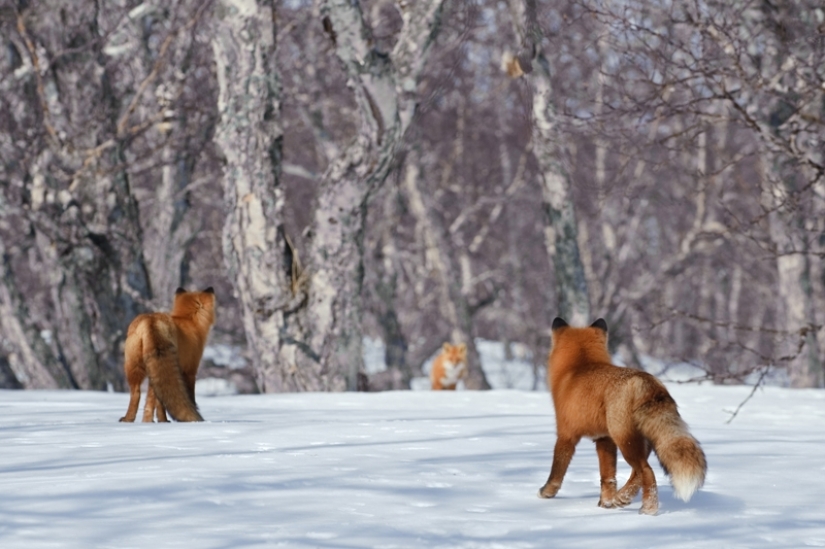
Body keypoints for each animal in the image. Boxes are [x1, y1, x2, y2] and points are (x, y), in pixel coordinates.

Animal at [118, 287, 216, 423]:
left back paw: (134, 419)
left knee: (137, 394)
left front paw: (158, 419)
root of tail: (152, 320)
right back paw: (152, 421)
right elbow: (191, 396)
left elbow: (157, 401)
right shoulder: (190, 370)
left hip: (136, 367)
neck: (188, 320)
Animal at [538, 317, 706, 515]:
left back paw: (648, 509)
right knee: (638, 472)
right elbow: (607, 477)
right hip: (639, 441)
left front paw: (547, 492)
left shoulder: (566, 435)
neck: (579, 366)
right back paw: (622, 498)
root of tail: (645, 380)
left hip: (625, 440)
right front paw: (606, 503)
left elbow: (557, 471)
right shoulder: (604, 439)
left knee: (646, 471)